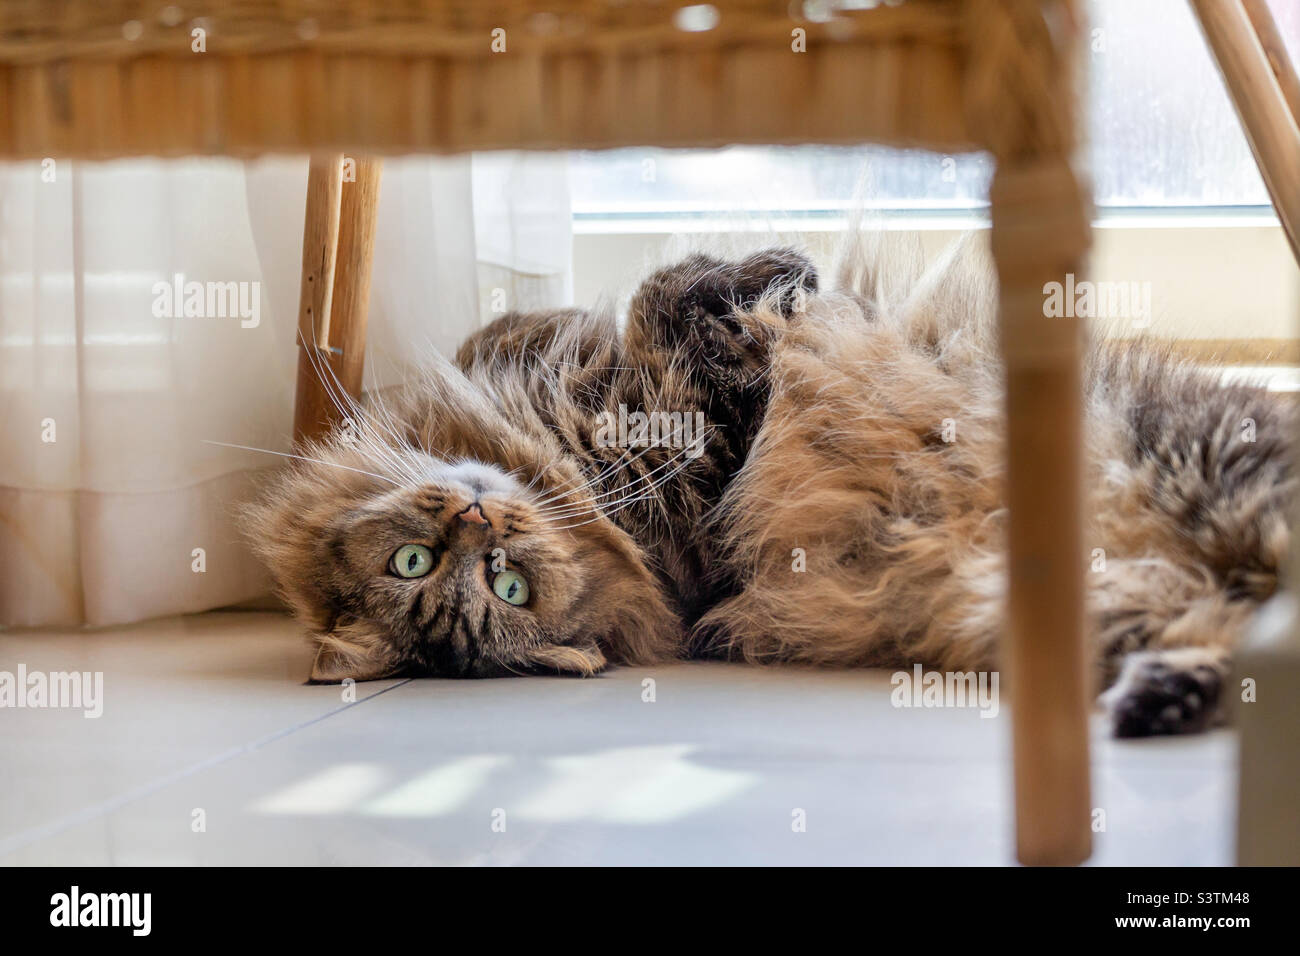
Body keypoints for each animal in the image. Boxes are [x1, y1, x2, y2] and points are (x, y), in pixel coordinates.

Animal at [244, 238, 1289, 738]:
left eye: (418, 563)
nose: (478, 519)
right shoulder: (702, 456)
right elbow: (676, 303)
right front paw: (773, 276)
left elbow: (574, 318)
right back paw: (1158, 702)